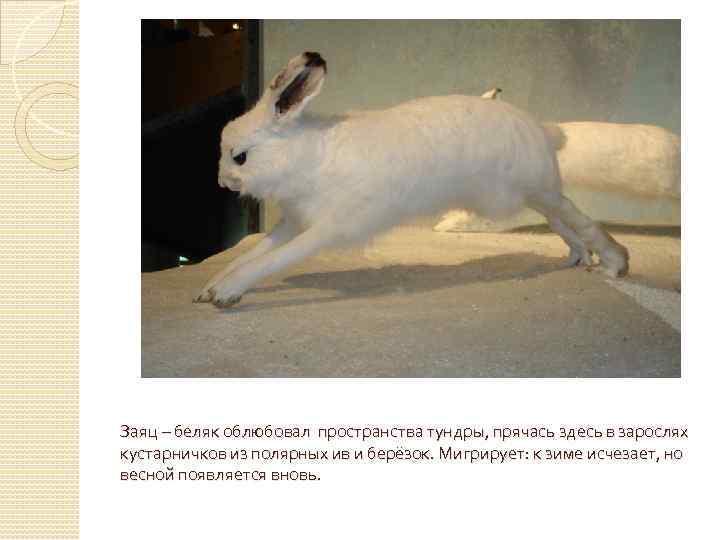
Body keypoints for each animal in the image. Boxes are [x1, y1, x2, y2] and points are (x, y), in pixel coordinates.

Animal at [194, 52, 629, 308]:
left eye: (240, 157)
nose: (223, 183)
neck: (306, 155)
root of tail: (541, 131)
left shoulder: (328, 228)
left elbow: (272, 260)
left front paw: (226, 293)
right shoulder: (293, 222)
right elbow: (253, 253)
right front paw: (209, 288)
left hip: (536, 189)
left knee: (579, 219)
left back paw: (614, 264)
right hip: (533, 195)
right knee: (563, 222)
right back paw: (577, 257)